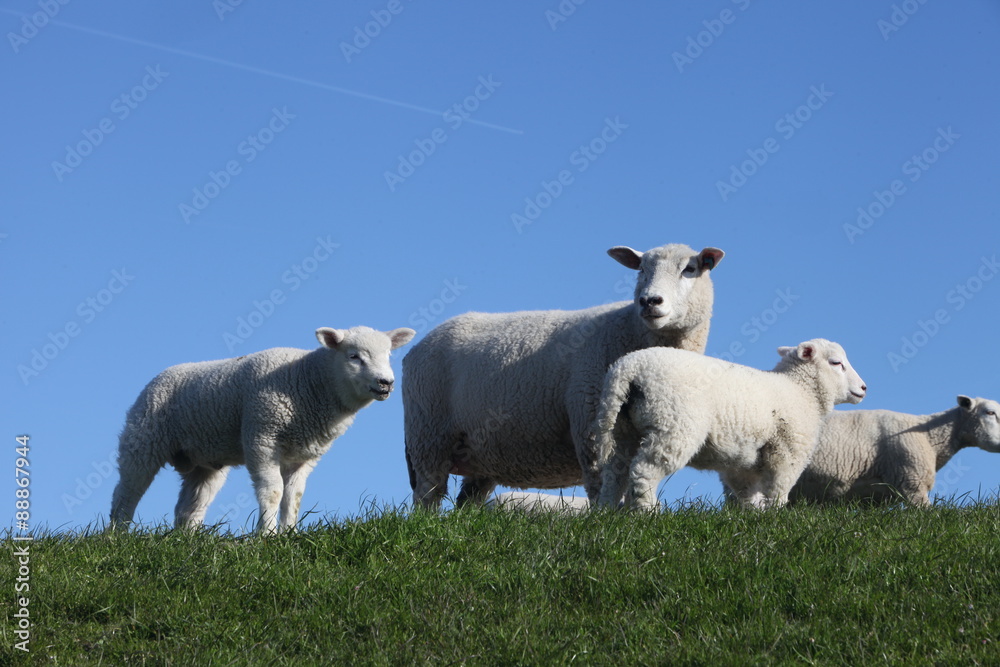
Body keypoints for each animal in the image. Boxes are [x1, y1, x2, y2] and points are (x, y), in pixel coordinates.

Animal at [110, 326, 415, 533]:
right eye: (354, 356)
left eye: (388, 354)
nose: (385, 383)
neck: (310, 382)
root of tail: (159, 376)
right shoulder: (262, 437)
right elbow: (273, 491)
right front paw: (266, 535)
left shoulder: (305, 455)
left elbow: (293, 496)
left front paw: (289, 533)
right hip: (144, 438)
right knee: (127, 492)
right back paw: (117, 535)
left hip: (205, 462)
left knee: (190, 507)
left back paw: (186, 540)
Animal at [402, 243, 725, 509]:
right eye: (641, 269)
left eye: (690, 269)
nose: (650, 301)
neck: (629, 328)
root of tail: (418, 347)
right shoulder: (592, 425)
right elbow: (601, 482)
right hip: (427, 434)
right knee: (428, 494)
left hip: (481, 451)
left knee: (467, 499)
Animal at [593, 339, 867, 510]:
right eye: (836, 363)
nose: (864, 388)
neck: (801, 390)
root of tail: (627, 369)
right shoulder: (787, 452)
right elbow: (777, 490)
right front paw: (775, 518)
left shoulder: (744, 464)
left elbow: (747, 495)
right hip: (673, 425)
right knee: (644, 471)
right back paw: (646, 513)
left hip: (624, 429)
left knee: (615, 473)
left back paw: (607, 512)